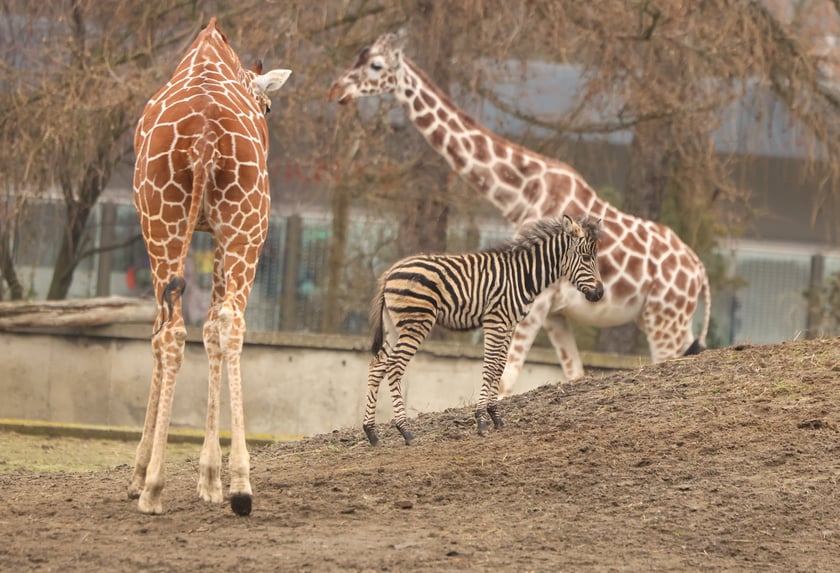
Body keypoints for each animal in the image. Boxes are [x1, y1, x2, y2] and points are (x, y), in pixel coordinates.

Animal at [127, 17, 292, 512]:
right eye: (268, 106)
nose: (265, 112)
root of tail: (204, 134)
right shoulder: (217, 232)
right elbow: (212, 330)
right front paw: (212, 478)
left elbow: (174, 331)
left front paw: (150, 475)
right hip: (241, 223)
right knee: (225, 323)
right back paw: (240, 487)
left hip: (168, 221)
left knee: (171, 331)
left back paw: (154, 487)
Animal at [328, 33, 708, 396]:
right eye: (358, 56)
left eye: (375, 65)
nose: (337, 89)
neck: (522, 193)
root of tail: (699, 272)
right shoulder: (553, 313)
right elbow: (571, 373)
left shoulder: (534, 306)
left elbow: (505, 377)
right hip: (666, 320)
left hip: (663, 319)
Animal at [364, 212, 600, 444]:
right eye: (586, 258)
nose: (600, 293)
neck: (522, 275)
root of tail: (390, 272)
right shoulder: (495, 321)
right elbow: (489, 368)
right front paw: (481, 420)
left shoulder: (508, 324)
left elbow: (499, 367)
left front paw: (495, 415)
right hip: (416, 324)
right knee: (394, 368)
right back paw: (405, 432)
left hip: (395, 327)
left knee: (377, 366)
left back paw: (372, 433)